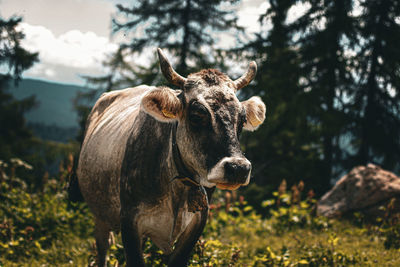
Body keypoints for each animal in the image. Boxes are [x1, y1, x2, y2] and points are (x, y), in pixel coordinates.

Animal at [76, 48, 266, 267]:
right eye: (197, 115)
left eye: (242, 120)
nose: (238, 168)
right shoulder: (129, 220)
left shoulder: (198, 222)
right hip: (99, 214)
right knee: (103, 247)